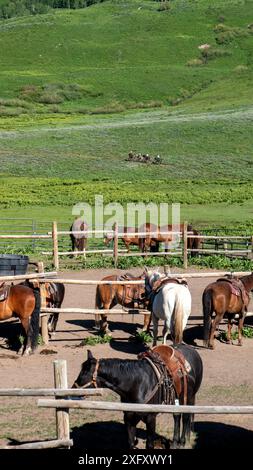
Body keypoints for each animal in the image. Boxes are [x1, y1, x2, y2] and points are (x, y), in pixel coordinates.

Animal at [72, 344, 203, 450]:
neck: (136, 384)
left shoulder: (151, 419)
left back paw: (182, 442)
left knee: (185, 417)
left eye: (84, 372)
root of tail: (193, 351)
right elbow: (130, 443)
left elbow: (149, 445)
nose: (73, 389)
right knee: (177, 416)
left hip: (188, 397)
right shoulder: (129, 418)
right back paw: (175, 443)